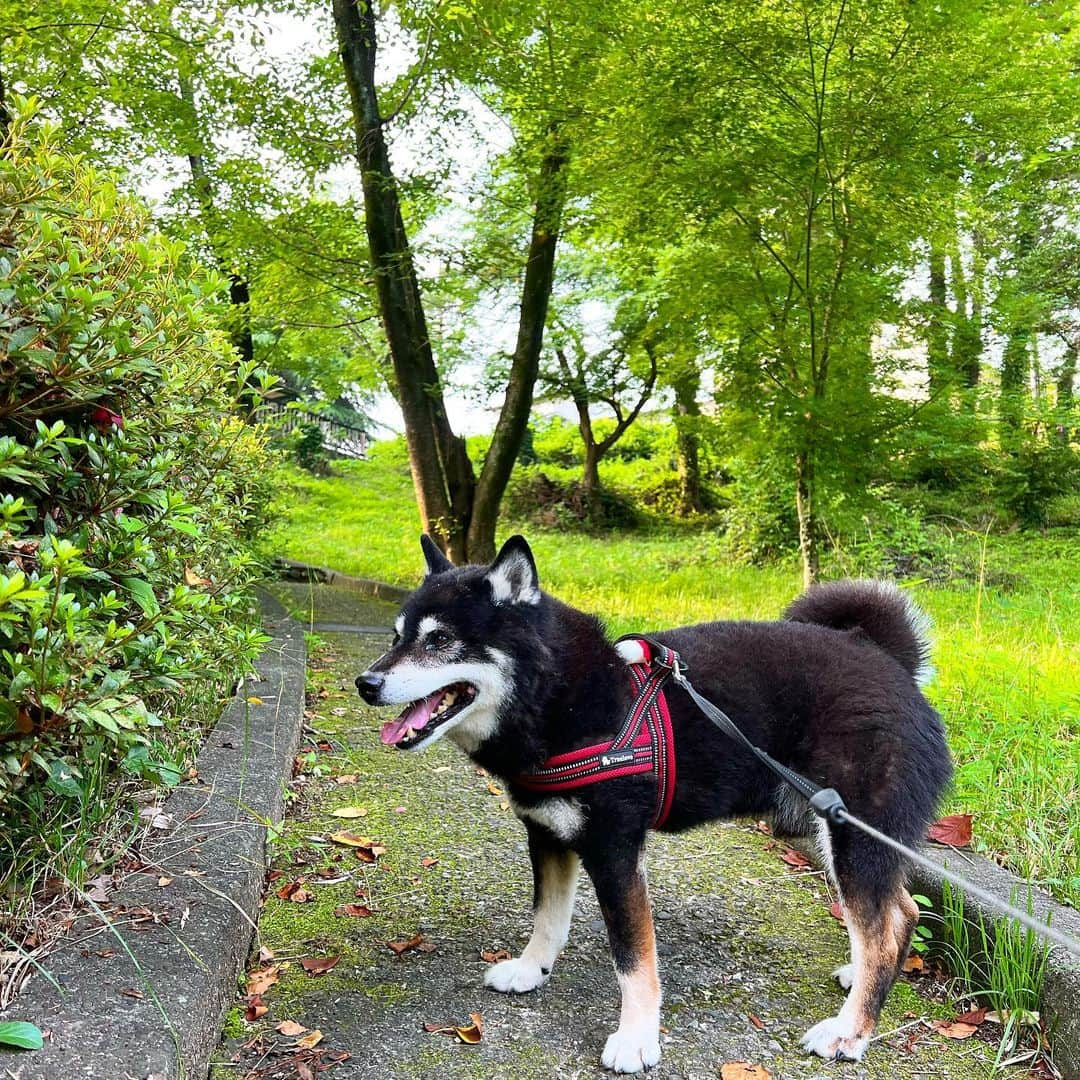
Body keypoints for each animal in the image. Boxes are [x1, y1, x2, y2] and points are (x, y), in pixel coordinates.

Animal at [356, 535, 954, 1075]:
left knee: (884, 929)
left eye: (440, 640)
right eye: (396, 636)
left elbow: (633, 959)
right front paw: (531, 970)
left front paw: (636, 1039)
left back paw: (851, 1030)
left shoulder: (615, 852)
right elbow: (548, 917)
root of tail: (888, 662)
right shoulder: (548, 833)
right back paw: (860, 977)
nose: (367, 683)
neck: (563, 696)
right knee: (903, 911)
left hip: (851, 834)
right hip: (835, 829)